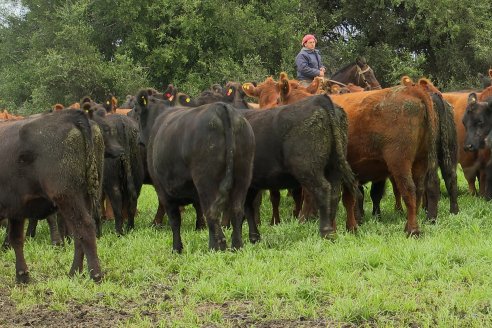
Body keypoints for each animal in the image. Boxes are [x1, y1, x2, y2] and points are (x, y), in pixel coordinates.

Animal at [0, 109, 104, 282]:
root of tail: (71, 116)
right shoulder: (16, 210)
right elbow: (16, 239)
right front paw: (22, 275)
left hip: (68, 197)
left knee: (85, 227)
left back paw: (95, 274)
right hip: (84, 197)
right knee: (78, 234)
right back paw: (74, 272)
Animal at [133, 89, 256, 251]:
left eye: (135, 110)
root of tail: (221, 108)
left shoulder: (163, 190)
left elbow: (175, 220)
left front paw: (177, 248)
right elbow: (199, 211)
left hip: (206, 181)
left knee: (212, 212)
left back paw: (216, 247)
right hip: (243, 176)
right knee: (236, 210)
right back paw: (236, 246)